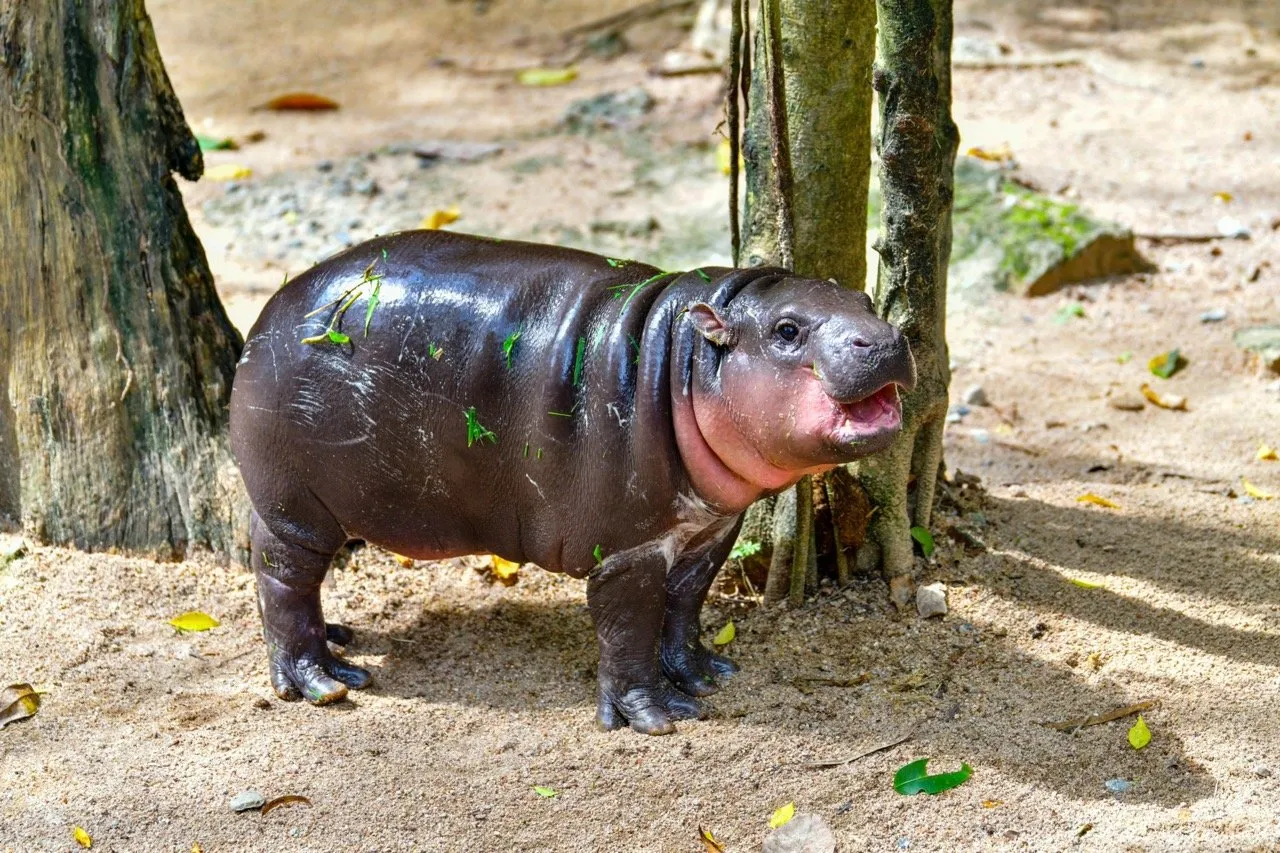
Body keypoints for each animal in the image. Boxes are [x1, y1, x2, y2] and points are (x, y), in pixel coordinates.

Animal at [229, 230, 914, 734]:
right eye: (787, 330)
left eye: (866, 300)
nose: (887, 339)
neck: (686, 359)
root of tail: (272, 307)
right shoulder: (627, 550)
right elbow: (628, 628)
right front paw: (655, 718)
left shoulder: (711, 531)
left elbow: (684, 606)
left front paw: (704, 675)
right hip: (296, 505)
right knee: (283, 579)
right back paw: (325, 681)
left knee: (290, 581)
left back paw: (340, 640)